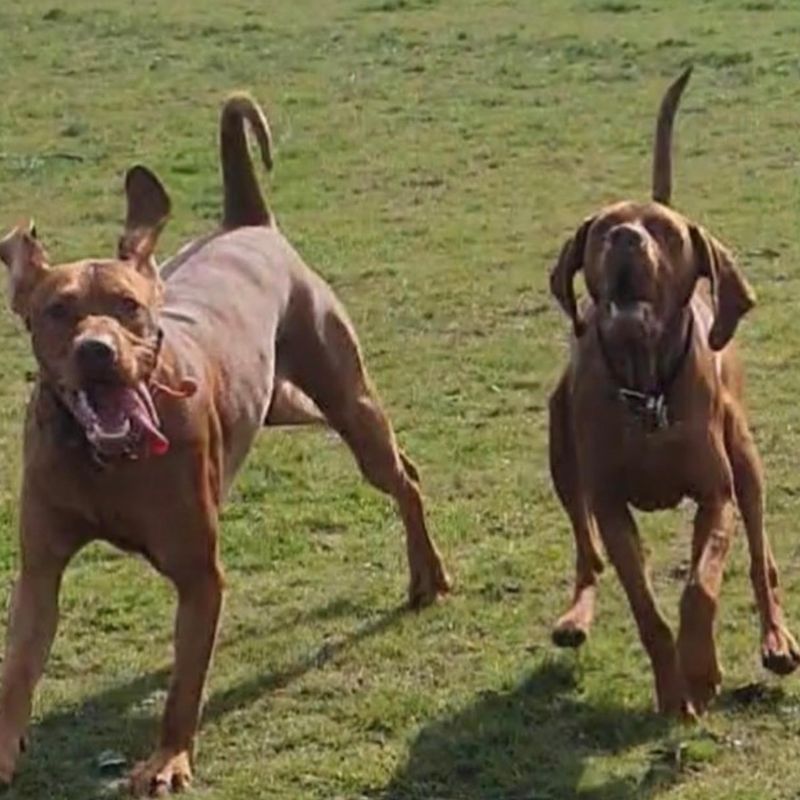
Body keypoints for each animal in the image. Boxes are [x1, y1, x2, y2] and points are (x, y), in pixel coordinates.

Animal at [0, 94, 450, 795]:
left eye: (128, 307)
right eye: (56, 311)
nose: (97, 351)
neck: (108, 461)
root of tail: (249, 224)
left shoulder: (198, 574)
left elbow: (186, 685)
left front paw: (167, 760)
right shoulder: (41, 568)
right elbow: (18, 668)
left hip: (346, 397)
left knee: (401, 475)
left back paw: (428, 574)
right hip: (285, 405)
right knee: (400, 461)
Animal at [547, 67, 799, 717]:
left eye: (661, 232)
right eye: (603, 228)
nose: (625, 238)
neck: (647, 392)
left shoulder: (717, 496)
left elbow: (699, 591)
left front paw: (703, 673)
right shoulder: (611, 505)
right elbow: (646, 606)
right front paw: (673, 688)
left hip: (747, 461)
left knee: (762, 561)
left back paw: (776, 638)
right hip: (560, 453)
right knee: (586, 552)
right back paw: (577, 615)